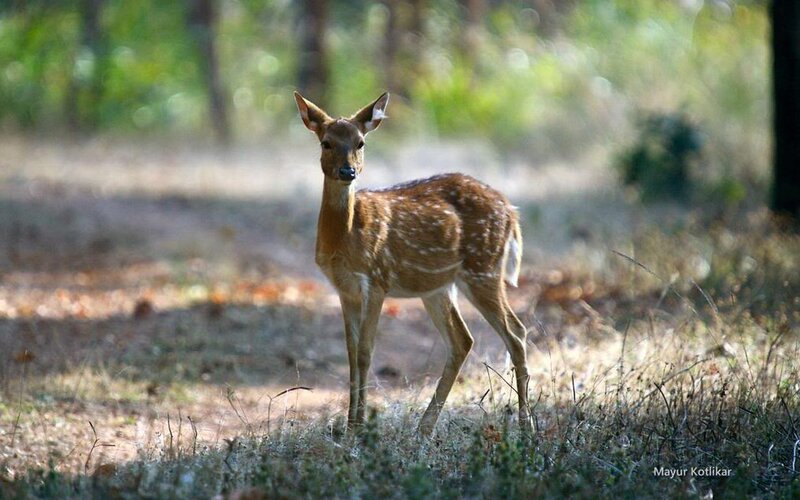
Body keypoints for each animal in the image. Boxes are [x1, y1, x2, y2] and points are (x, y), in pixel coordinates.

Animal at [293, 91, 531, 436]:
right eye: (326, 142)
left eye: (360, 142)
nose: (348, 172)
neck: (346, 238)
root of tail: (511, 212)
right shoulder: (344, 288)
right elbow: (351, 353)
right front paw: (349, 426)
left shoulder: (377, 279)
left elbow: (365, 352)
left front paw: (358, 429)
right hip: (438, 287)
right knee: (463, 340)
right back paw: (425, 427)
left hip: (483, 269)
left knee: (516, 333)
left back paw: (526, 426)